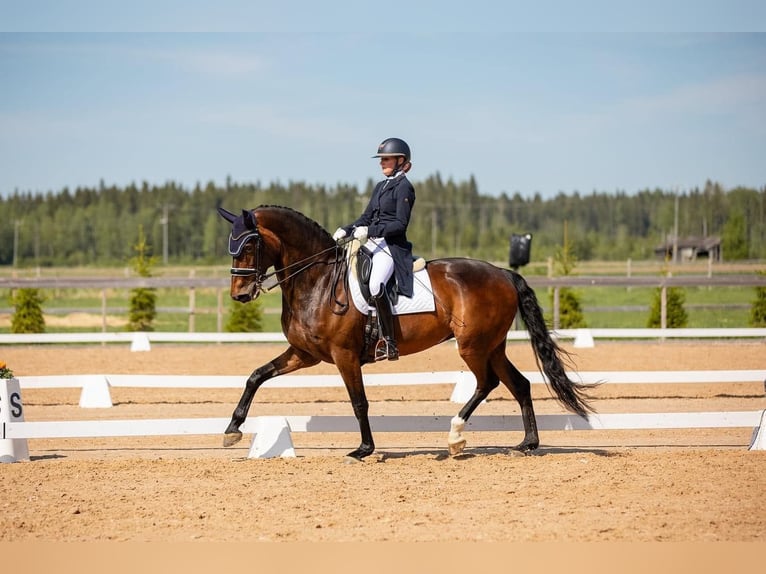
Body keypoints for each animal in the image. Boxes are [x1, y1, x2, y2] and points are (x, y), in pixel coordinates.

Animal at [219, 205, 596, 462]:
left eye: (249, 246)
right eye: (230, 246)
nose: (240, 295)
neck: (318, 281)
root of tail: (504, 273)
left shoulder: (344, 354)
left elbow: (359, 401)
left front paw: (363, 449)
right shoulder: (305, 354)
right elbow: (256, 376)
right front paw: (232, 430)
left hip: (472, 346)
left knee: (487, 382)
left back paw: (455, 437)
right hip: (492, 345)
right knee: (519, 384)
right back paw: (527, 444)